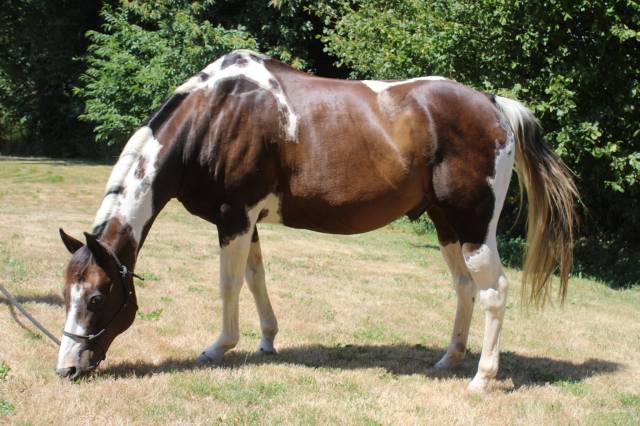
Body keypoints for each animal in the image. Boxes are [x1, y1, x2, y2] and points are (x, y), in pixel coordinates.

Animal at [56, 49, 577, 392]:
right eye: (65, 294)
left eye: (99, 297)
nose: (68, 369)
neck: (217, 114)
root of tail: (492, 104)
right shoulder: (248, 221)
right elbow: (255, 278)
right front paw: (267, 341)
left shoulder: (233, 217)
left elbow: (229, 283)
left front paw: (219, 347)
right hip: (445, 224)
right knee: (465, 288)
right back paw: (448, 360)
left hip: (473, 228)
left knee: (494, 292)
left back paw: (482, 379)